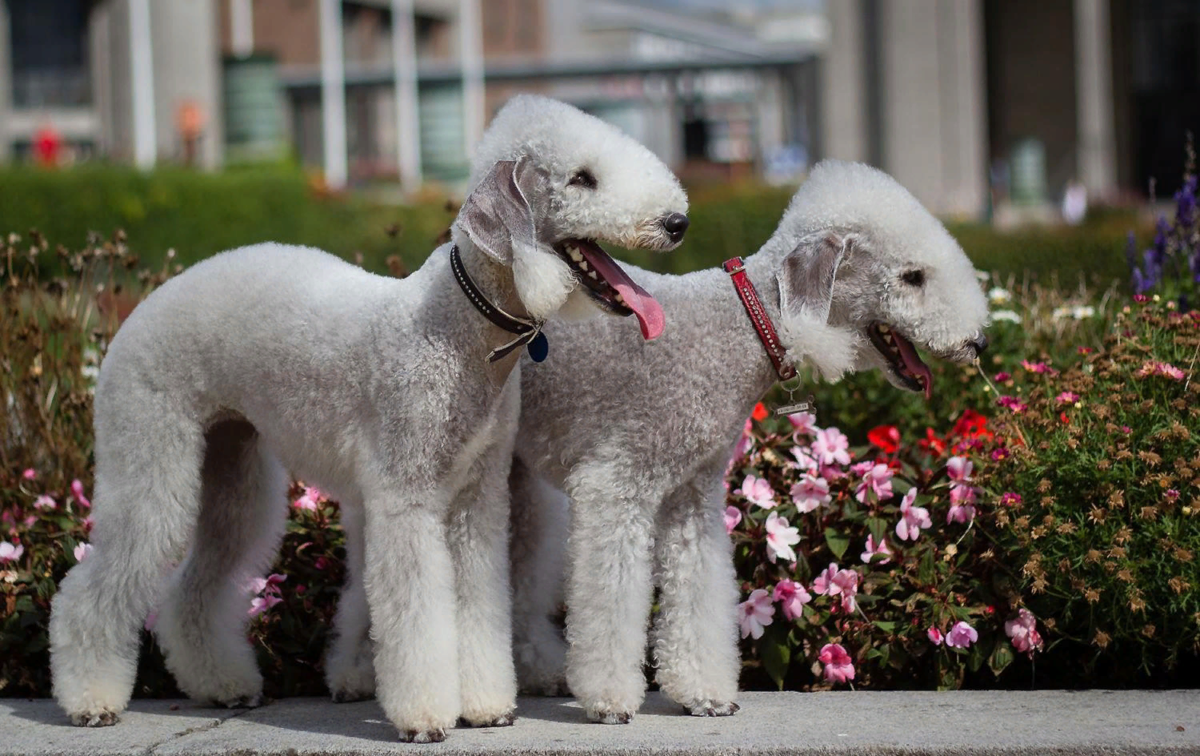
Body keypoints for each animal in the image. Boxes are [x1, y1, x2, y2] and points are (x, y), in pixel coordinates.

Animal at [49, 91, 686, 744]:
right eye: (582, 178)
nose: (677, 223)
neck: (459, 327)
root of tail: (140, 308)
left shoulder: (476, 499)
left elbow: (479, 605)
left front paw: (486, 706)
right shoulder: (405, 497)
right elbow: (417, 613)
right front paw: (426, 717)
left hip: (233, 467)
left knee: (197, 584)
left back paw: (222, 684)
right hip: (151, 454)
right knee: (94, 583)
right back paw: (90, 700)